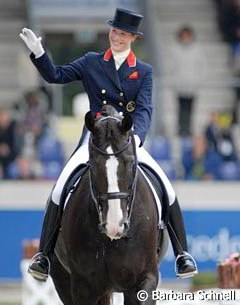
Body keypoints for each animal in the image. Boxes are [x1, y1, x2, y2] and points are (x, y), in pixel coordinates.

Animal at [50, 105, 168, 304]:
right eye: (93, 164)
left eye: (130, 163)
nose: (115, 226)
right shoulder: (83, 287)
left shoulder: (144, 280)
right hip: (63, 280)